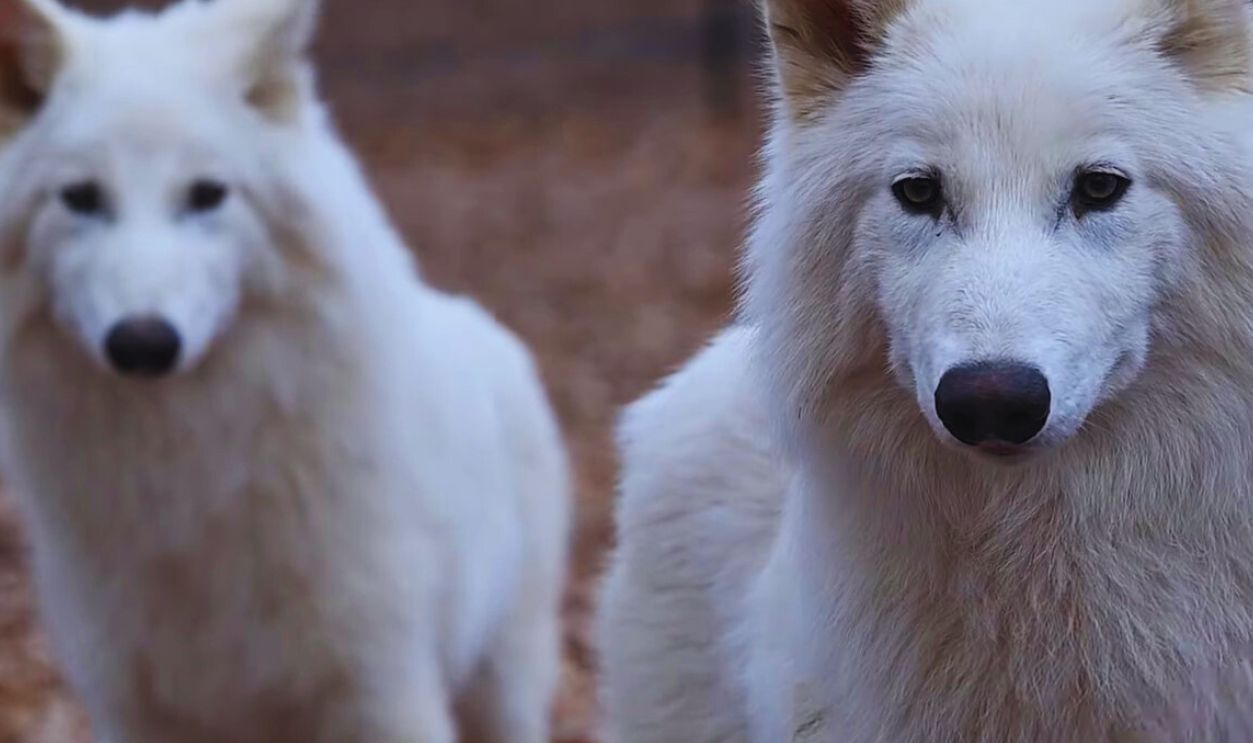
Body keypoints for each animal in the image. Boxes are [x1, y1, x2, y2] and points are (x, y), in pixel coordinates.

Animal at [0, 1, 570, 741]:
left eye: (207, 194)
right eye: (80, 197)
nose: (144, 342)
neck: (188, 470)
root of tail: (484, 325)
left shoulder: (382, 694)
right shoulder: (132, 707)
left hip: (502, 691)